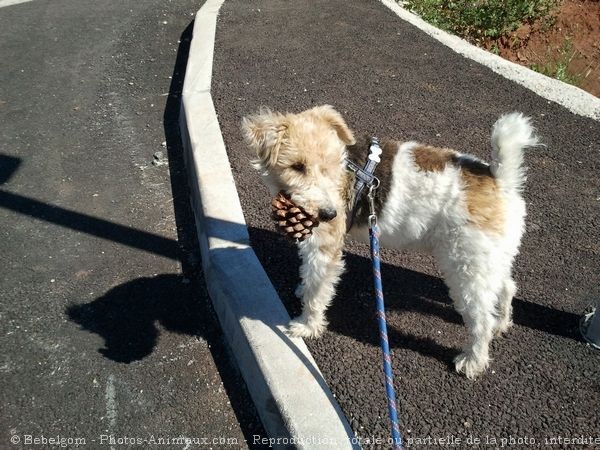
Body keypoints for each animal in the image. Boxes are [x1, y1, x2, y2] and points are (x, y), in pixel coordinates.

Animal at [241, 103, 536, 378]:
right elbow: (309, 279)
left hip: (465, 266)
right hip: (490, 258)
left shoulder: (324, 248)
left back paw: (472, 360)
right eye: (297, 167)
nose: (329, 213)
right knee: (506, 287)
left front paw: (306, 326)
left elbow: (318, 291)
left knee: (481, 319)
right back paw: (502, 324)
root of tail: (501, 179)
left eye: (330, 165)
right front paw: (302, 291)